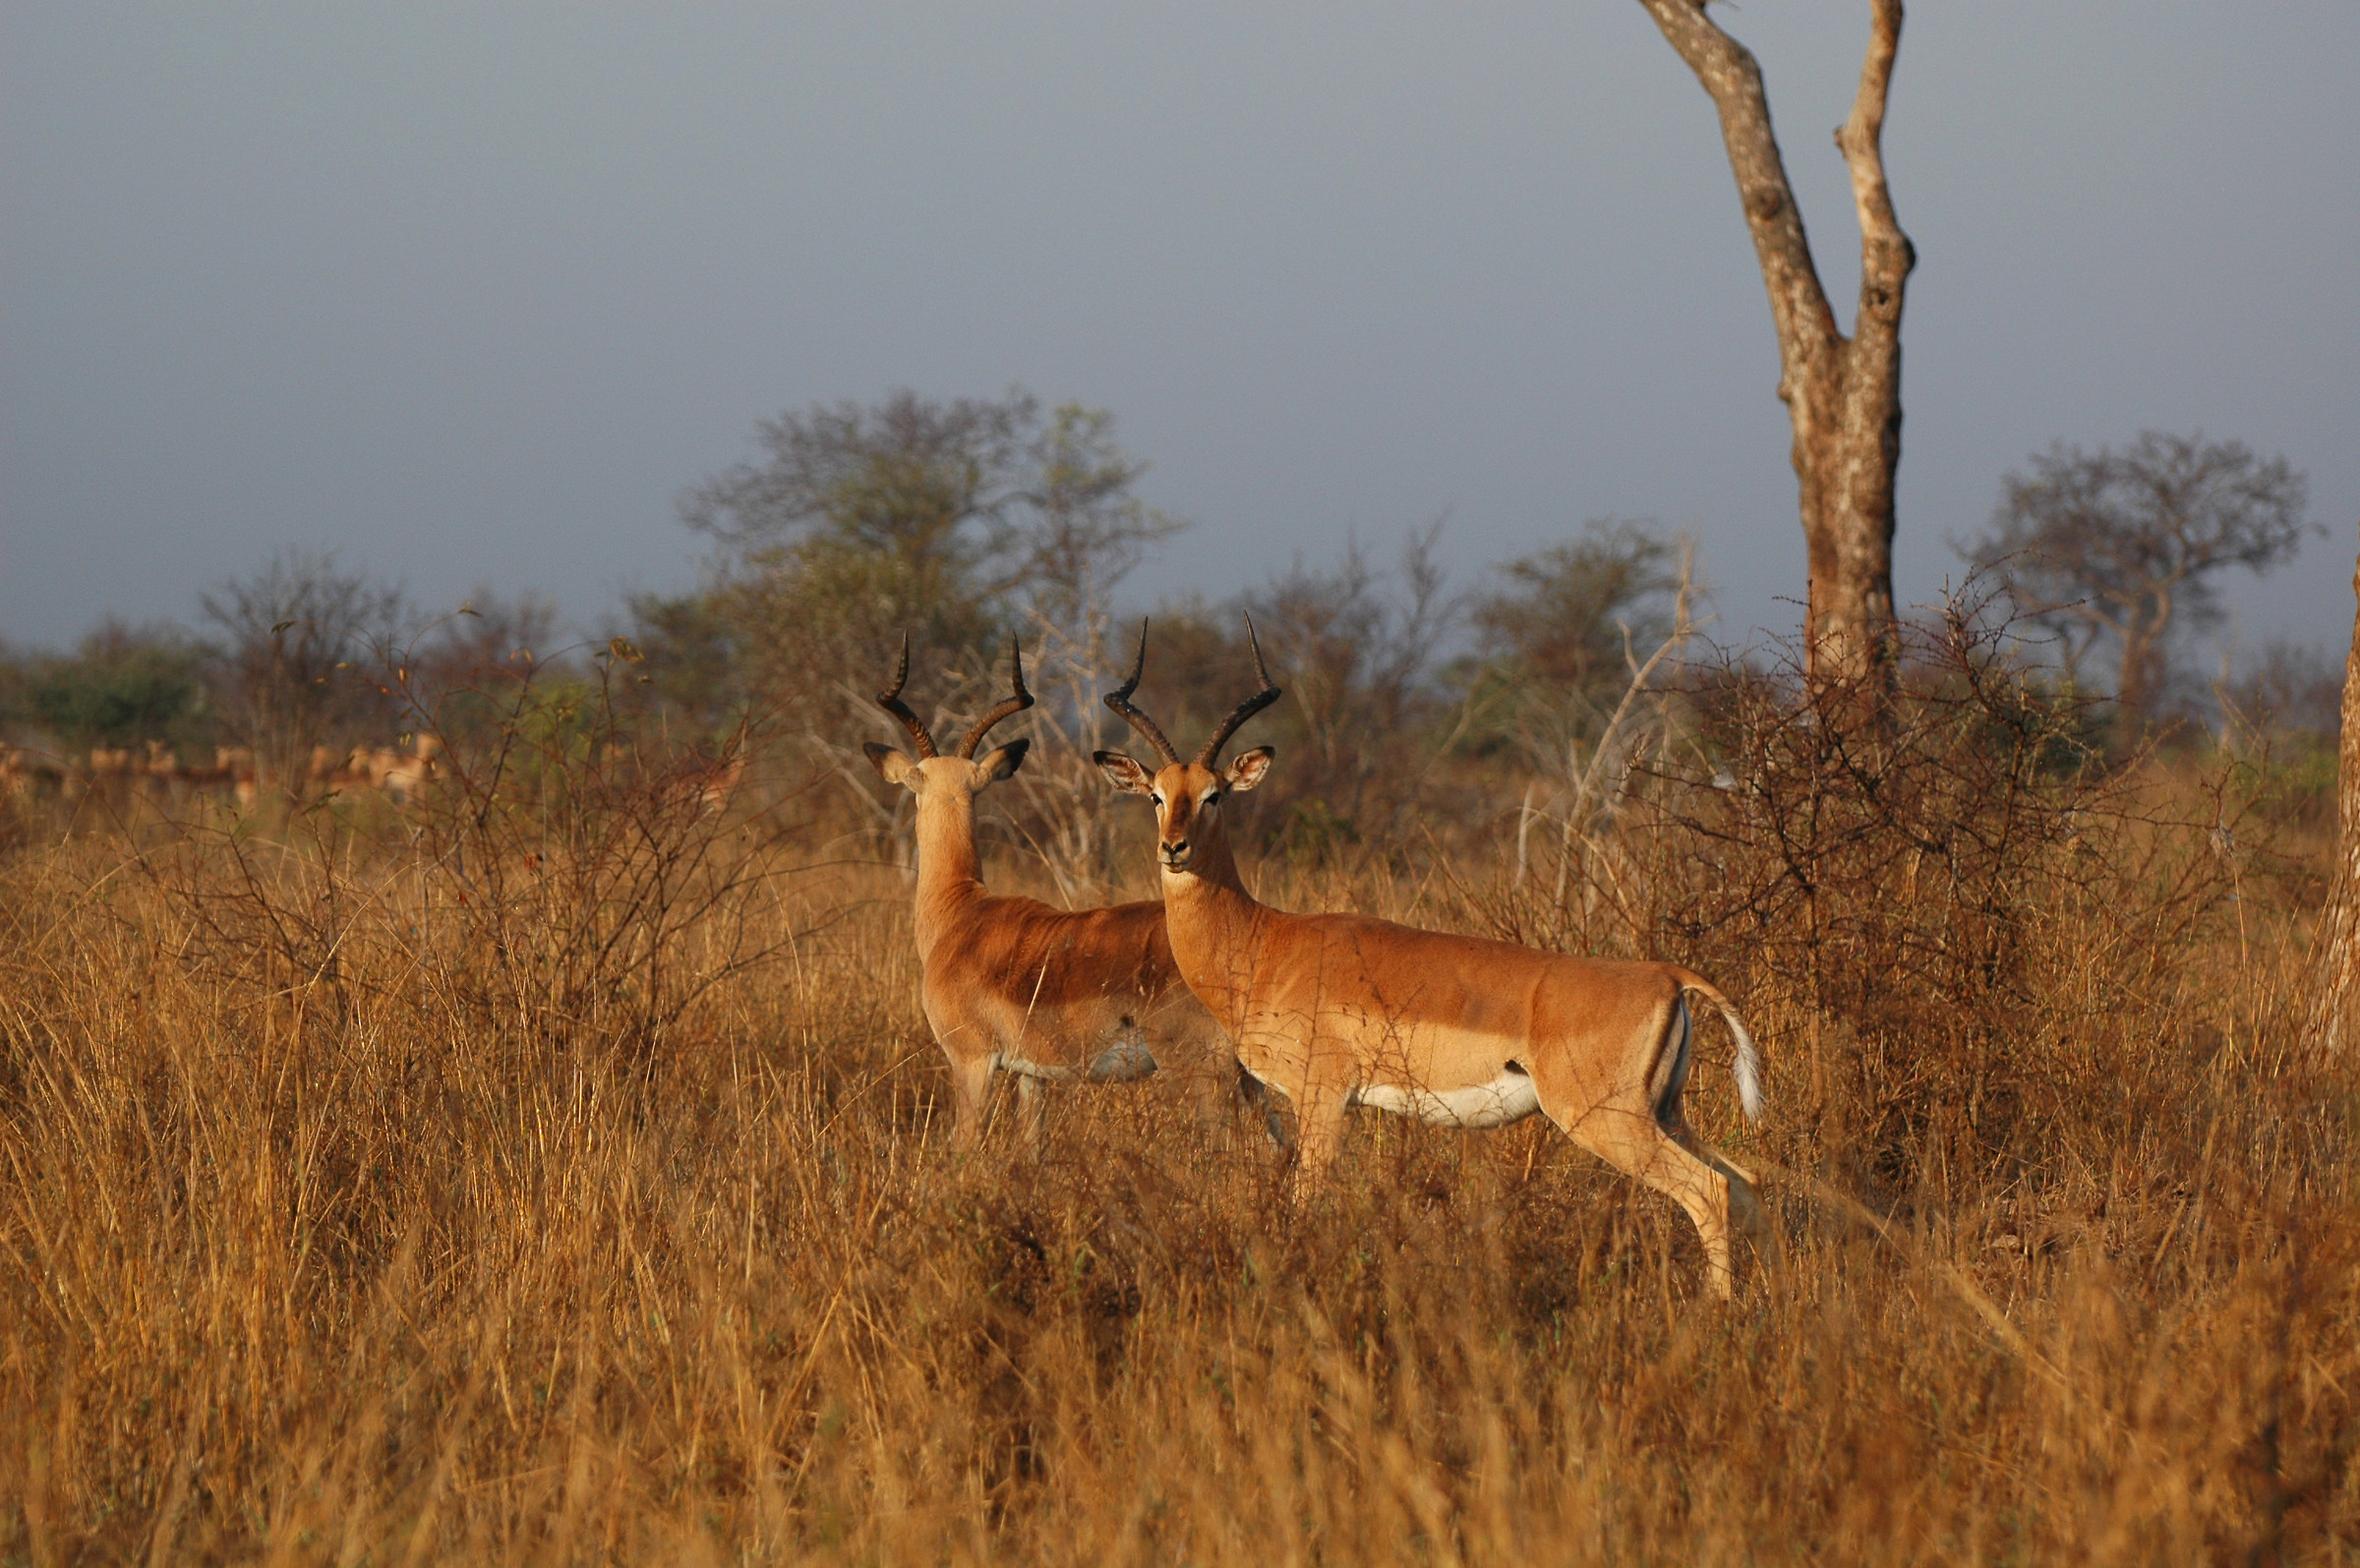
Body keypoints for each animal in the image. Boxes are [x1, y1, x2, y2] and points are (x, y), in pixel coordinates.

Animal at [864, 636, 1278, 1149]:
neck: (960, 912)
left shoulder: (972, 1061)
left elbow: (964, 1147)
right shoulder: (1032, 1075)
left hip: (1200, 1072)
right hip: (1251, 1078)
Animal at [1093, 626, 1768, 1297]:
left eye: (1214, 796)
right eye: (1156, 795)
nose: (1174, 849)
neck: (1264, 946)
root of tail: (1667, 977)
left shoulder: (1323, 1099)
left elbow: (1304, 1202)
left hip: (1609, 1121)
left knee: (1709, 1190)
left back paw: (1717, 1309)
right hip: (1668, 1113)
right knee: (1748, 1181)